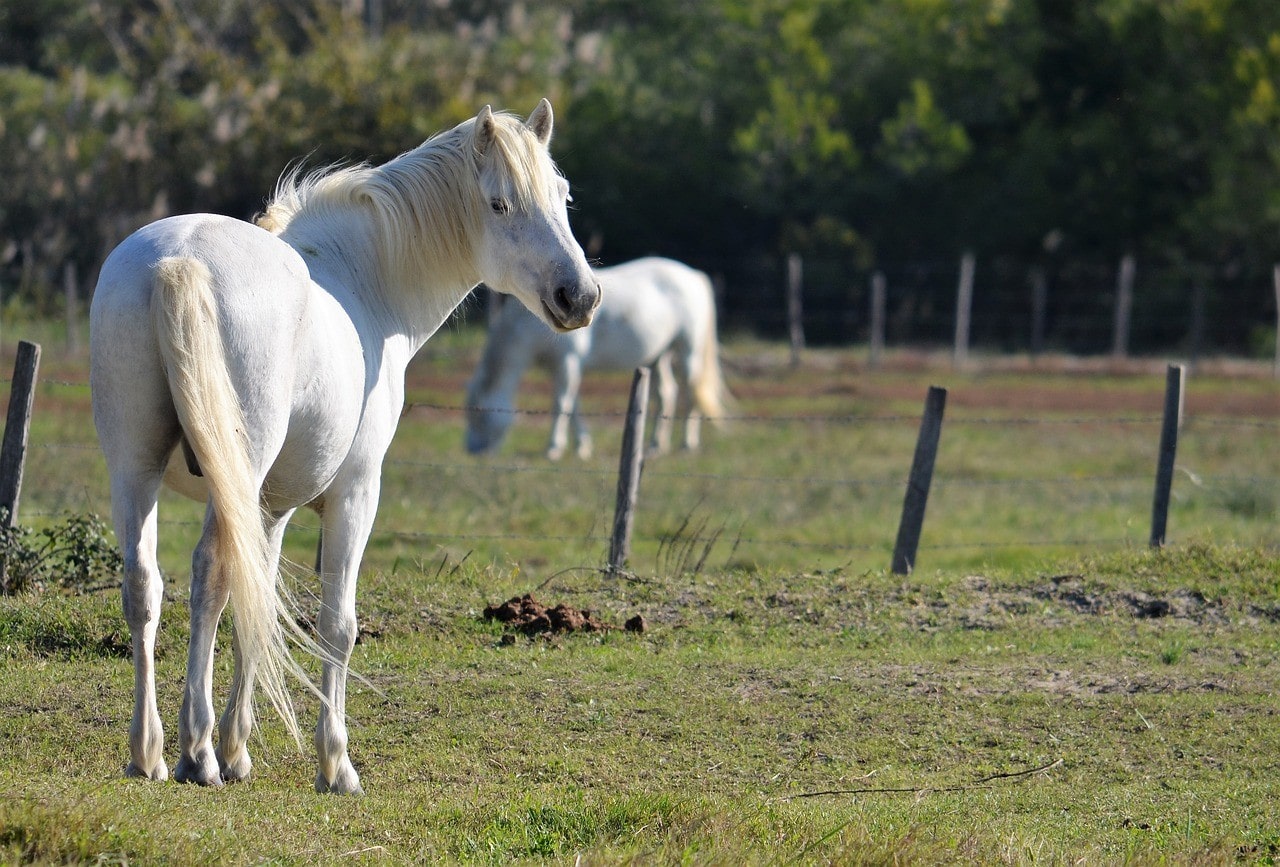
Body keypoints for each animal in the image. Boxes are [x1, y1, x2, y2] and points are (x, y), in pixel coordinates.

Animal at [90, 101, 599, 788]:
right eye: (499, 204)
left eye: (562, 196)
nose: (581, 296)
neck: (364, 279)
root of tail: (179, 261)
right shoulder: (356, 494)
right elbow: (336, 624)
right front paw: (334, 763)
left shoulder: (270, 507)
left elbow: (258, 606)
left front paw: (240, 749)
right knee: (208, 578)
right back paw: (195, 753)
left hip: (135, 469)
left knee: (145, 586)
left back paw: (150, 753)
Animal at [468, 254, 732, 461]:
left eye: (479, 415)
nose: (472, 451)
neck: (528, 325)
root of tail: (694, 276)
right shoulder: (563, 367)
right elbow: (573, 405)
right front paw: (582, 447)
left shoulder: (569, 362)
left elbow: (561, 404)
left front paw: (554, 448)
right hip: (657, 357)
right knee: (666, 394)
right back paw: (656, 446)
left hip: (688, 350)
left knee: (690, 394)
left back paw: (687, 444)